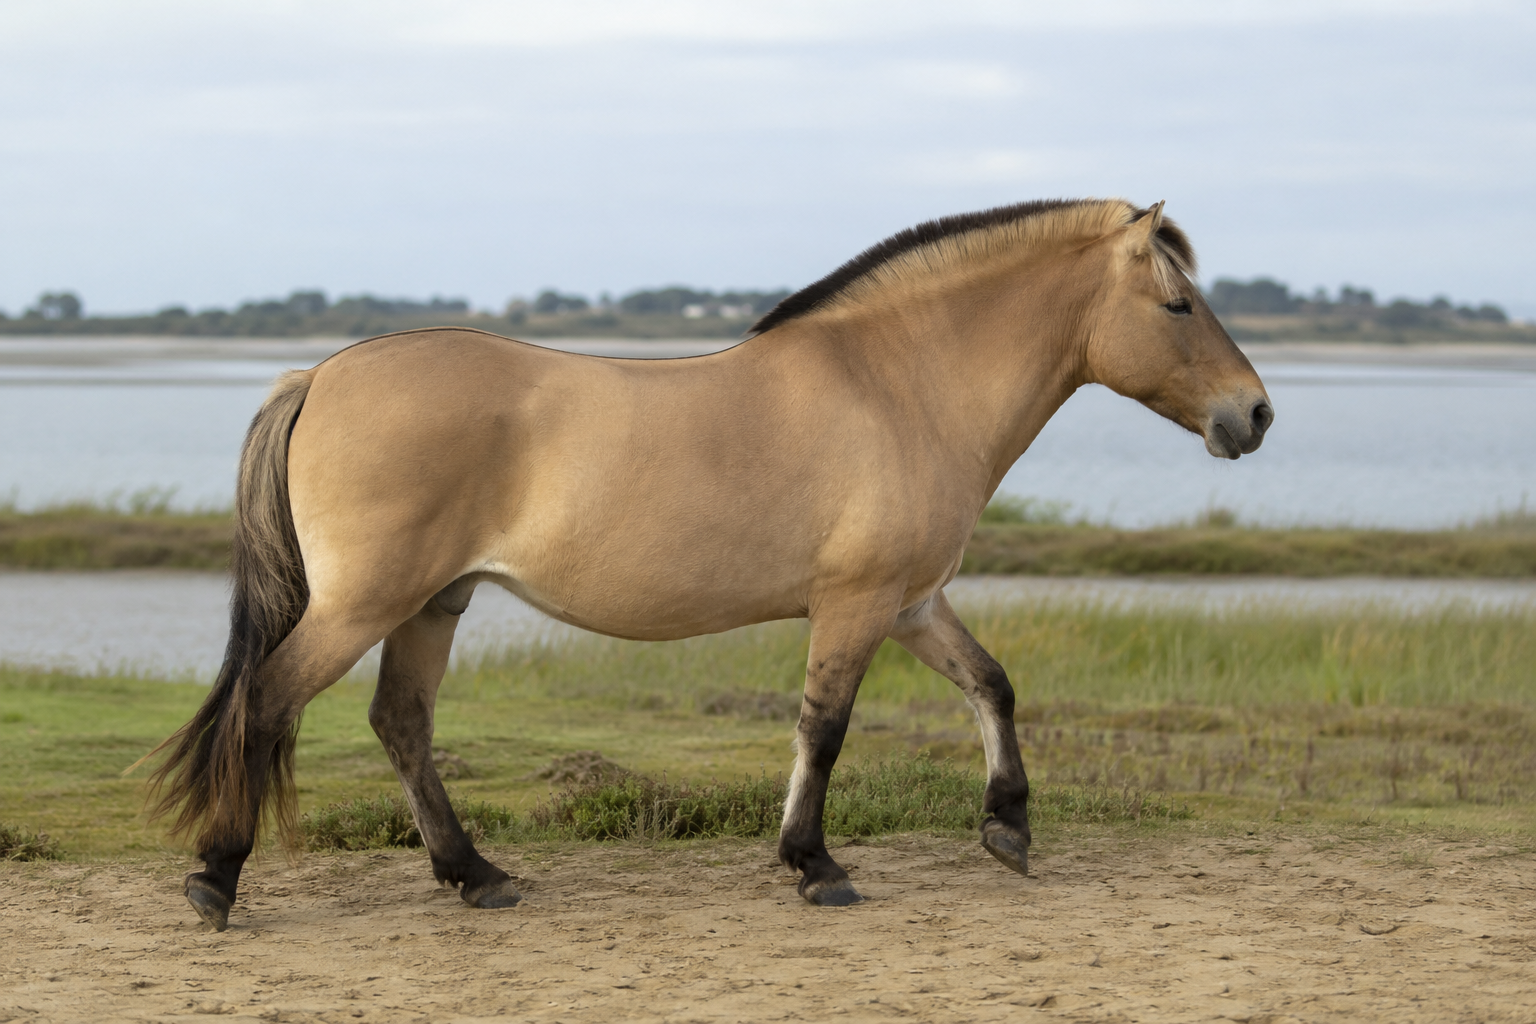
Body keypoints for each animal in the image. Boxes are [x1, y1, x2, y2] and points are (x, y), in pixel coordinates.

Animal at [142, 197, 1272, 931]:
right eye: (1177, 305)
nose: (1254, 413)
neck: (900, 384)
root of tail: (318, 373)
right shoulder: (857, 604)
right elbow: (824, 729)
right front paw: (814, 865)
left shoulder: (913, 602)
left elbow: (991, 685)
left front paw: (1008, 828)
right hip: (366, 604)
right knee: (268, 702)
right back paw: (217, 881)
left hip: (432, 603)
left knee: (400, 725)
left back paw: (477, 875)